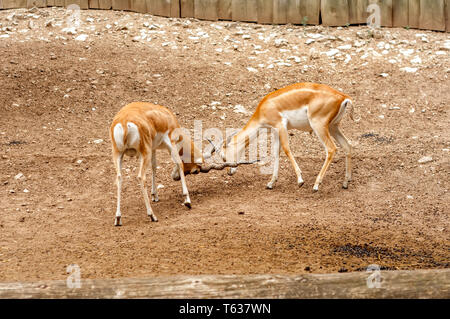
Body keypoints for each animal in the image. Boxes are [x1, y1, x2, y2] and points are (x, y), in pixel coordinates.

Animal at [107, 102, 251, 225]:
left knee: (119, 177)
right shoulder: (171, 142)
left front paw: (155, 196)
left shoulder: (153, 148)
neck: (167, 117)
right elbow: (180, 164)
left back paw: (118, 218)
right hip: (143, 151)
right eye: (196, 171)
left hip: (118, 153)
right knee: (140, 177)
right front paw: (187, 201)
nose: (174, 178)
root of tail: (124, 122)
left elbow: (154, 167)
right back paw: (152, 215)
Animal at [206, 83, 356, 192]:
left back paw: (316, 185)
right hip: (333, 127)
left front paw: (300, 180)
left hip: (319, 126)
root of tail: (343, 97)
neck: (264, 108)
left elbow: (286, 149)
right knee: (347, 145)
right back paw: (346, 182)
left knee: (331, 149)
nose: (229, 172)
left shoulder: (281, 126)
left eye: (223, 157)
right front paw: (271, 183)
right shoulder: (275, 131)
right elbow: (276, 153)